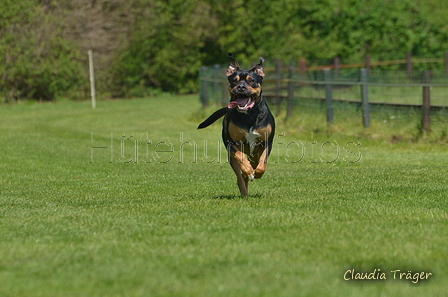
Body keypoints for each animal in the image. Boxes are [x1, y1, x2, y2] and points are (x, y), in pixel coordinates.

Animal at [199, 53, 274, 197]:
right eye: (234, 80)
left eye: (252, 81)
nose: (241, 87)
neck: (249, 114)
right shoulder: (231, 143)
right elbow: (240, 156)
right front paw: (248, 171)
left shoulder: (267, 141)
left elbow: (263, 161)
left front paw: (258, 173)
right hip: (231, 157)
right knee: (240, 176)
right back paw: (245, 186)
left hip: (254, 153)